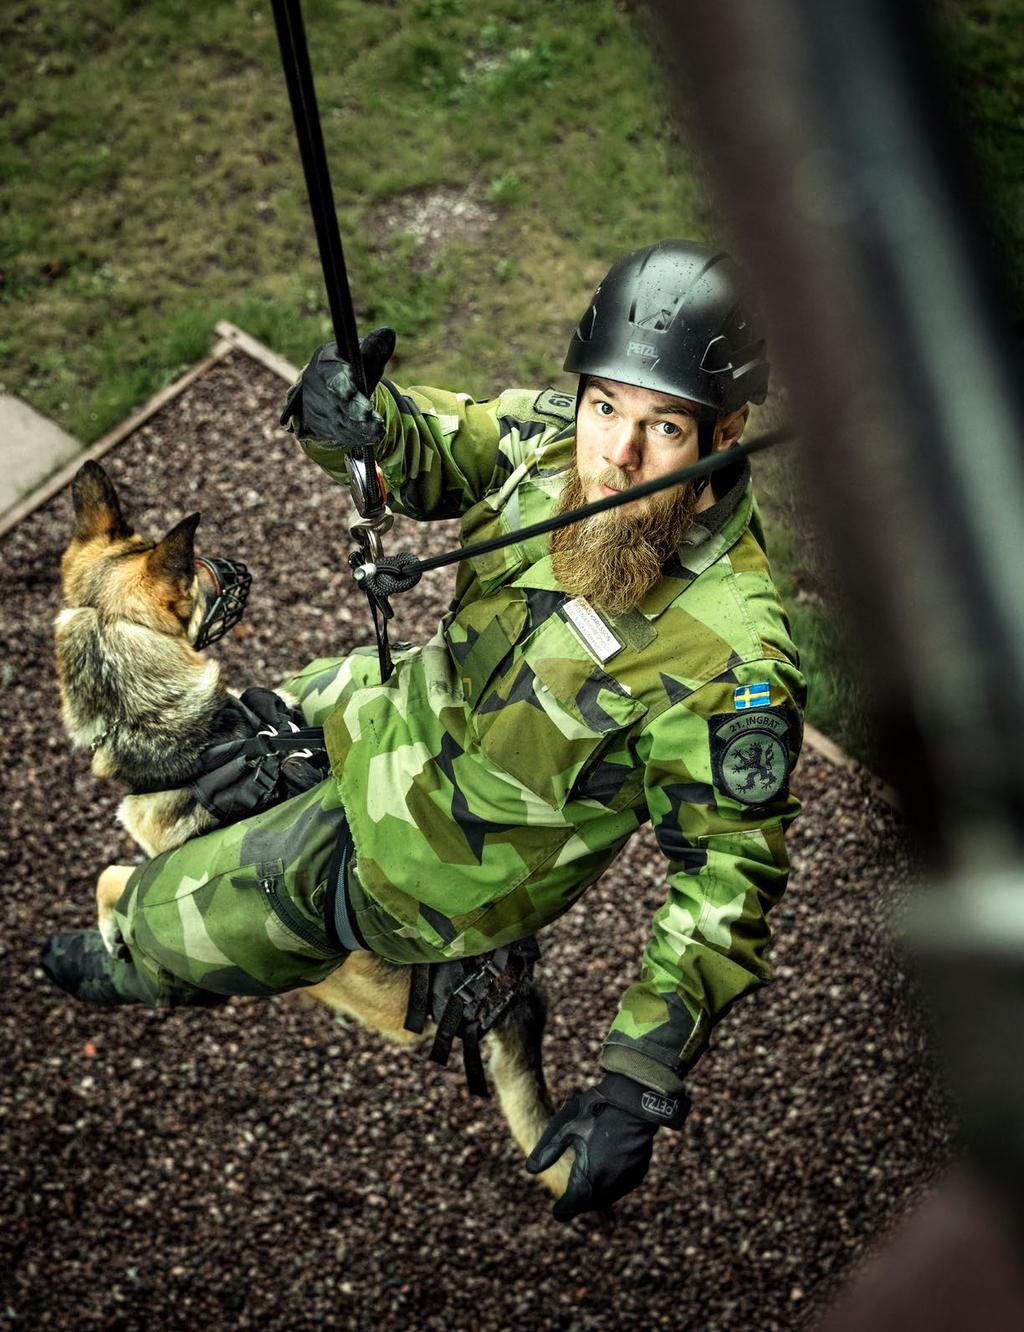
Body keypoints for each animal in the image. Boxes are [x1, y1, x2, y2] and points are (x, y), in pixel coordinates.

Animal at [53, 460, 567, 1198]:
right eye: (200, 576)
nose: (239, 565)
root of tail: (505, 997)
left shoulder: (154, 859)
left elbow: (109, 876)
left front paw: (109, 932)